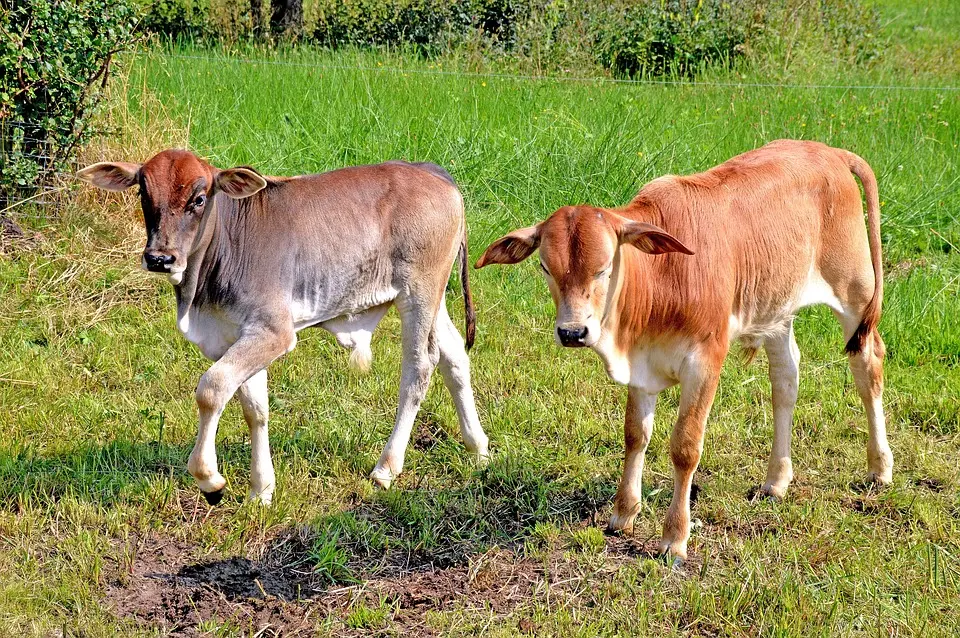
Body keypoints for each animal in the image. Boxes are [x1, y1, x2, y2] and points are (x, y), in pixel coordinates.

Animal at [79, 150, 492, 504]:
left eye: (199, 198)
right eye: (143, 192)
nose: (160, 258)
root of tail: (429, 170)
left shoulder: (273, 332)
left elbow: (211, 389)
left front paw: (210, 479)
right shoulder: (239, 335)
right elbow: (254, 409)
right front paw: (261, 489)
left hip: (418, 293)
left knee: (420, 368)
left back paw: (386, 468)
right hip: (433, 299)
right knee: (454, 356)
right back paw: (478, 448)